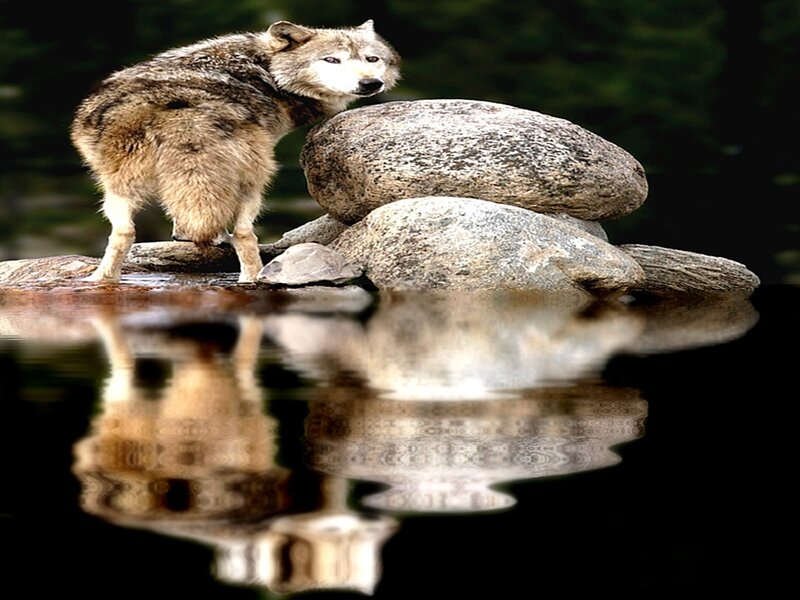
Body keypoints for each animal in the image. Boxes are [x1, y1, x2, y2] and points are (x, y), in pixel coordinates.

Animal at [71, 20, 400, 282]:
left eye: (372, 58)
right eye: (331, 60)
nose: (369, 83)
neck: (267, 70)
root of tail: (185, 113)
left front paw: (186, 235)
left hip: (116, 186)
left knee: (124, 233)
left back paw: (99, 279)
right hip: (256, 179)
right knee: (244, 233)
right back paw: (253, 278)